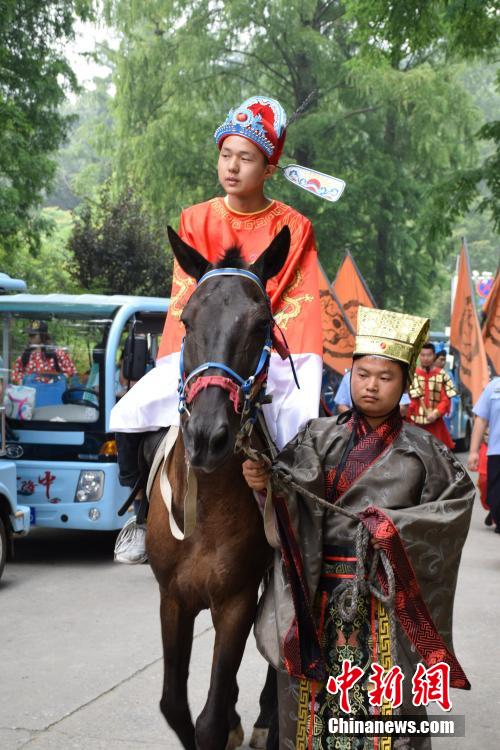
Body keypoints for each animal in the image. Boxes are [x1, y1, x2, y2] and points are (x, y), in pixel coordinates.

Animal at [146, 226, 292, 750]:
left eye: (262, 324)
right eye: (187, 321)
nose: (208, 437)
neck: (206, 506)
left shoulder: (236, 599)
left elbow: (207, 719)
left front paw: (229, 720)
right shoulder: (173, 596)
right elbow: (173, 704)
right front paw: (225, 717)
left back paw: (268, 717)